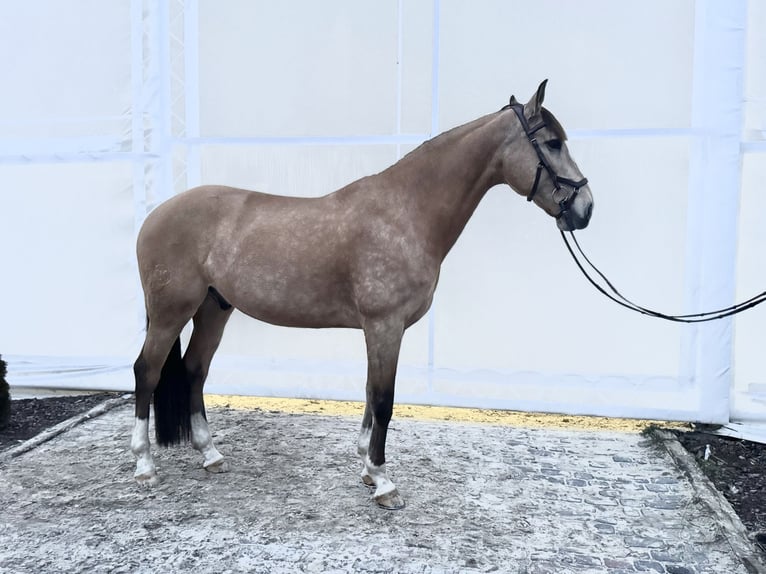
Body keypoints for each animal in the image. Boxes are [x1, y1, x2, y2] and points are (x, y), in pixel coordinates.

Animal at [130, 80, 592, 508]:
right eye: (552, 143)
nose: (584, 208)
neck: (406, 212)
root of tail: (155, 215)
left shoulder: (379, 329)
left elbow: (371, 393)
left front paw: (368, 468)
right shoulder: (385, 325)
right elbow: (384, 400)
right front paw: (385, 483)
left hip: (214, 308)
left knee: (194, 370)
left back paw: (210, 454)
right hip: (172, 312)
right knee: (146, 371)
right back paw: (145, 466)